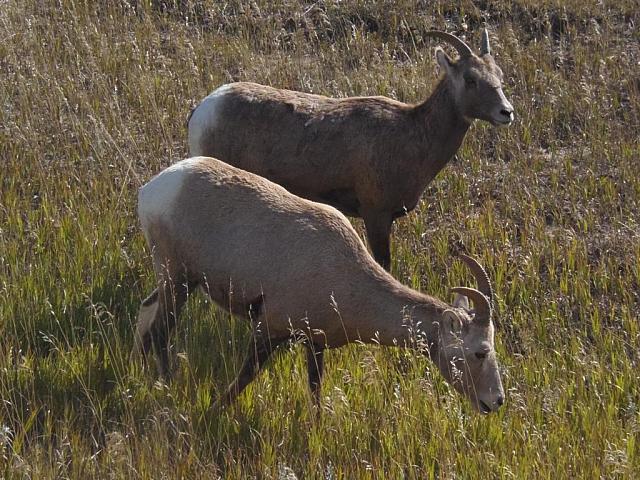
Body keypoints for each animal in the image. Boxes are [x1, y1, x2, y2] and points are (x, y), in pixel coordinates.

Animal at [134, 157, 504, 412]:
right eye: (480, 351)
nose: (496, 401)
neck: (342, 268)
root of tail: (155, 188)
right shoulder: (267, 330)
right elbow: (245, 377)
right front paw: (213, 410)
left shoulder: (315, 344)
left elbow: (314, 391)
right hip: (178, 280)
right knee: (159, 331)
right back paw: (165, 385)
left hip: (177, 281)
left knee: (147, 312)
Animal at [186, 29, 516, 270]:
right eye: (470, 79)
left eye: (499, 76)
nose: (506, 112)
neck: (412, 135)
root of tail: (203, 110)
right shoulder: (376, 215)